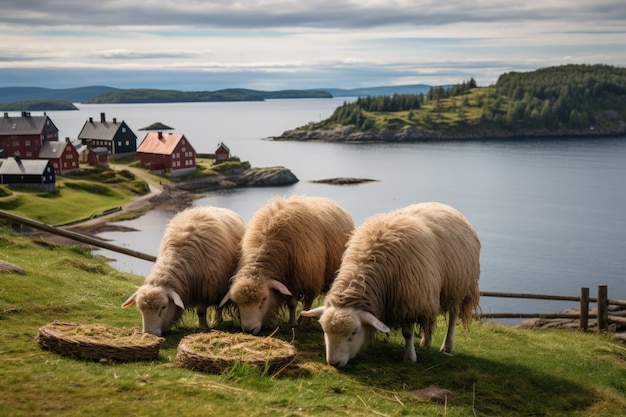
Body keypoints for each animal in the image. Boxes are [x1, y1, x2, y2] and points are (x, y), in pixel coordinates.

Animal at [120, 206, 245, 336]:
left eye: (164, 307)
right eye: (140, 309)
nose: (150, 333)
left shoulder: (206, 288)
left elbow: (201, 311)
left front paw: (203, 327)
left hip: (219, 285)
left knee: (219, 306)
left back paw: (216, 321)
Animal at [219, 195, 356, 334]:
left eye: (264, 299)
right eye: (237, 303)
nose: (248, 330)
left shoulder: (303, 279)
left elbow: (295, 303)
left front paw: (295, 323)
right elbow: (291, 303)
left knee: (309, 300)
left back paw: (305, 320)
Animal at [302, 201, 478, 364]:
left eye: (354, 332)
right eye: (324, 330)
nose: (334, 363)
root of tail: (444, 205)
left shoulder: (410, 301)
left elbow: (407, 333)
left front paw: (409, 358)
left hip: (458, 287)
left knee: (454, 315)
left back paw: (447, 346)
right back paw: (425, 342)